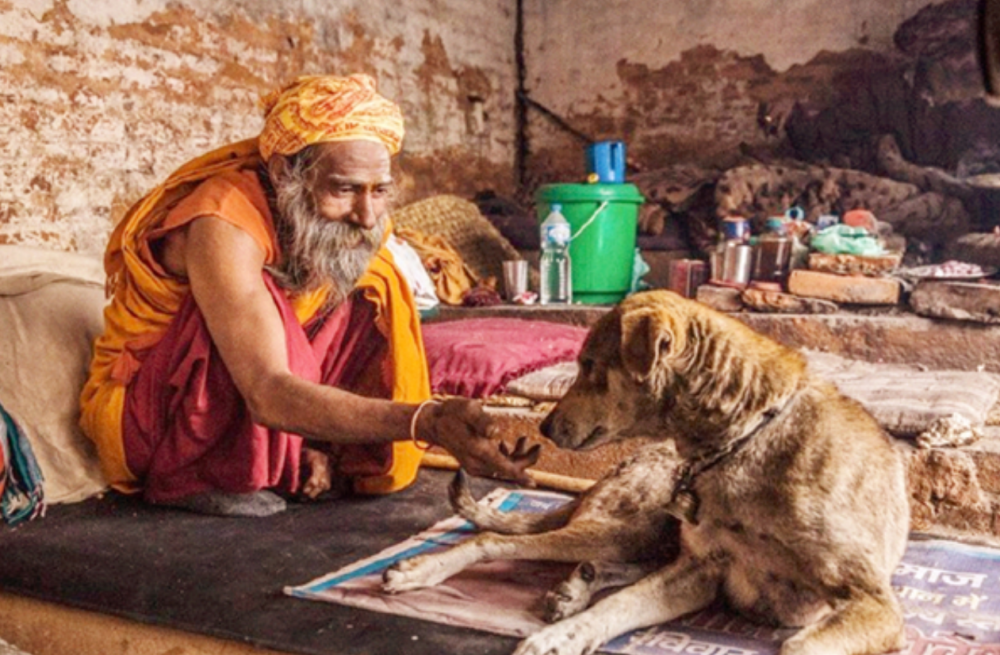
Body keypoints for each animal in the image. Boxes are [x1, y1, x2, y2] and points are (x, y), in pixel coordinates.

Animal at [384, 290, 916, 655]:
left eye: (590, 365)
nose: (546, 427)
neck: (742, 442)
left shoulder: (874, 603)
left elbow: (799, 644)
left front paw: (565, 630)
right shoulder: (701, 570)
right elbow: (619, 605)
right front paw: (560, 637)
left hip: (639, 536)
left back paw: (575, 586)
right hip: (629, 527)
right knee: (496, 540)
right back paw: (426, 569)